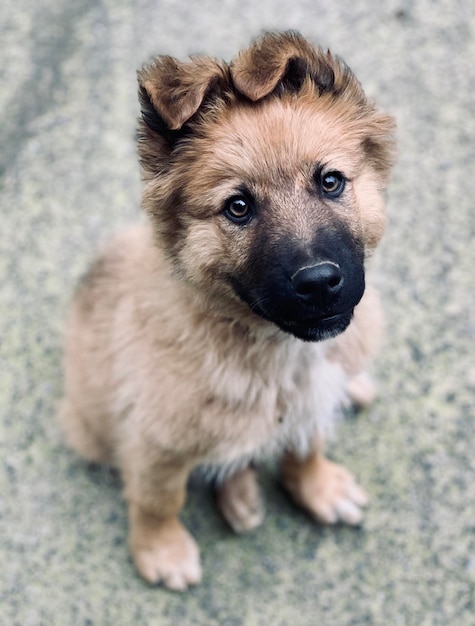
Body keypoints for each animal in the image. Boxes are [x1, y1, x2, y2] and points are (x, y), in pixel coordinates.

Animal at [57, 31, 396, 588]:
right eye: (238, 207)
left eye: (330, 182)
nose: (320, 284)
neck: (268, 345)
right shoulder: (154, 440)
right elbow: (158, 499)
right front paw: (160, 549)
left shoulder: (308, 397)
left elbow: (307, 444)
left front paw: (317, 485)